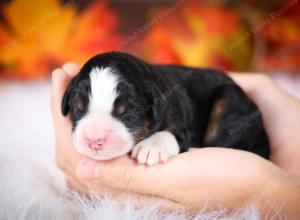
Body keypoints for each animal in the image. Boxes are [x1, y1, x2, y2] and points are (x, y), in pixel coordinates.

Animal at [61, 51, 270, 165]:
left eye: (128, 112)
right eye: (78, 108)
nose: (94, 140)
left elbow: (169, 134)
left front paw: (150, 147)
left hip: (230, 101)